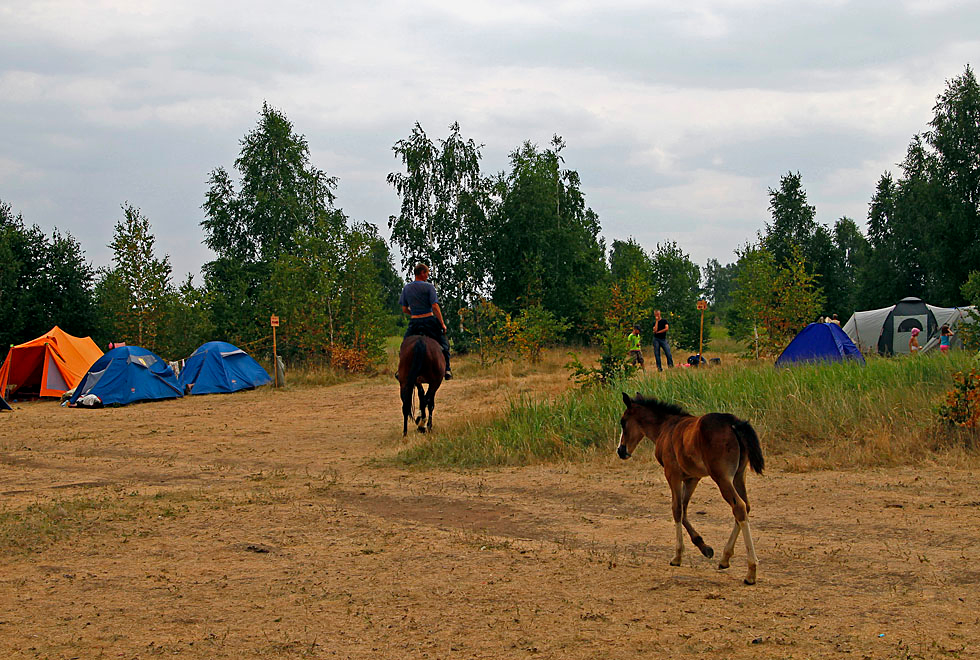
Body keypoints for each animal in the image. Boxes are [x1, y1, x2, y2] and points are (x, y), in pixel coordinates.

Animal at [612, 392, 764, 584]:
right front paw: (704, 547)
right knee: (746, 506)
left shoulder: (672, 474)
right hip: (738, 475)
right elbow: (684, 509)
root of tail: (733, 422)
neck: (665, 427)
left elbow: (676, 509)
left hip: (722, 477)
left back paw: (751, 571)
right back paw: (725, 558)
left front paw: (677, 556)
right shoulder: (692, 478)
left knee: (739, 508)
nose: (621, 450)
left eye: (623, 422)